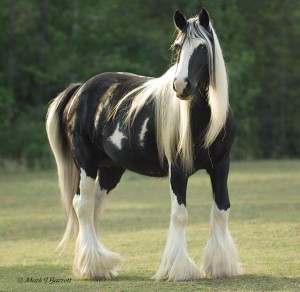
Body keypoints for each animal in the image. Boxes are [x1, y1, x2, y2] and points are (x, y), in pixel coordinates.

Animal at [46, 7, 241, 280]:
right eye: (177, 47)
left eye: (203, 47)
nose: (181, 86)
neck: (203, 119)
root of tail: (80, 89)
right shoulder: (177, 170)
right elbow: (180, 215)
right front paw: (178, 269)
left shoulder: (222, 166)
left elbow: (222, 209)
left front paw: (221, 266)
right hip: (86, 163)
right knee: (82, 206)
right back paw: (92, 266)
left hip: (111, 169)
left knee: (96, 206)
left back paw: (97, 264)